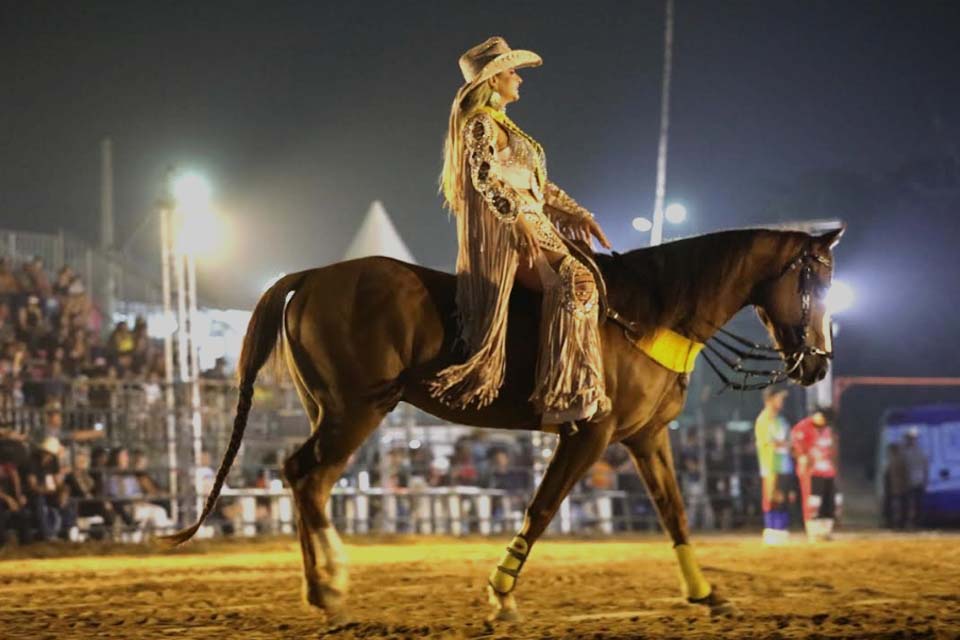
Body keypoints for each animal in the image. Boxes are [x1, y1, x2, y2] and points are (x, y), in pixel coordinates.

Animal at [165, 225, 840, 620]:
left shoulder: (646, 439)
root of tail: (310, 276)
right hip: (355, 412)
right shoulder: (588, 434)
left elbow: (673, 511)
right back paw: (326, 590)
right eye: (816, 280)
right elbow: (540, 509)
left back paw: (328, 584)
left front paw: (704, 592)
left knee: (311, 481)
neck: (647, 311)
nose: (818, 363)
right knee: (303, 475)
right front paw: (500, 593)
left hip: (335, 412)